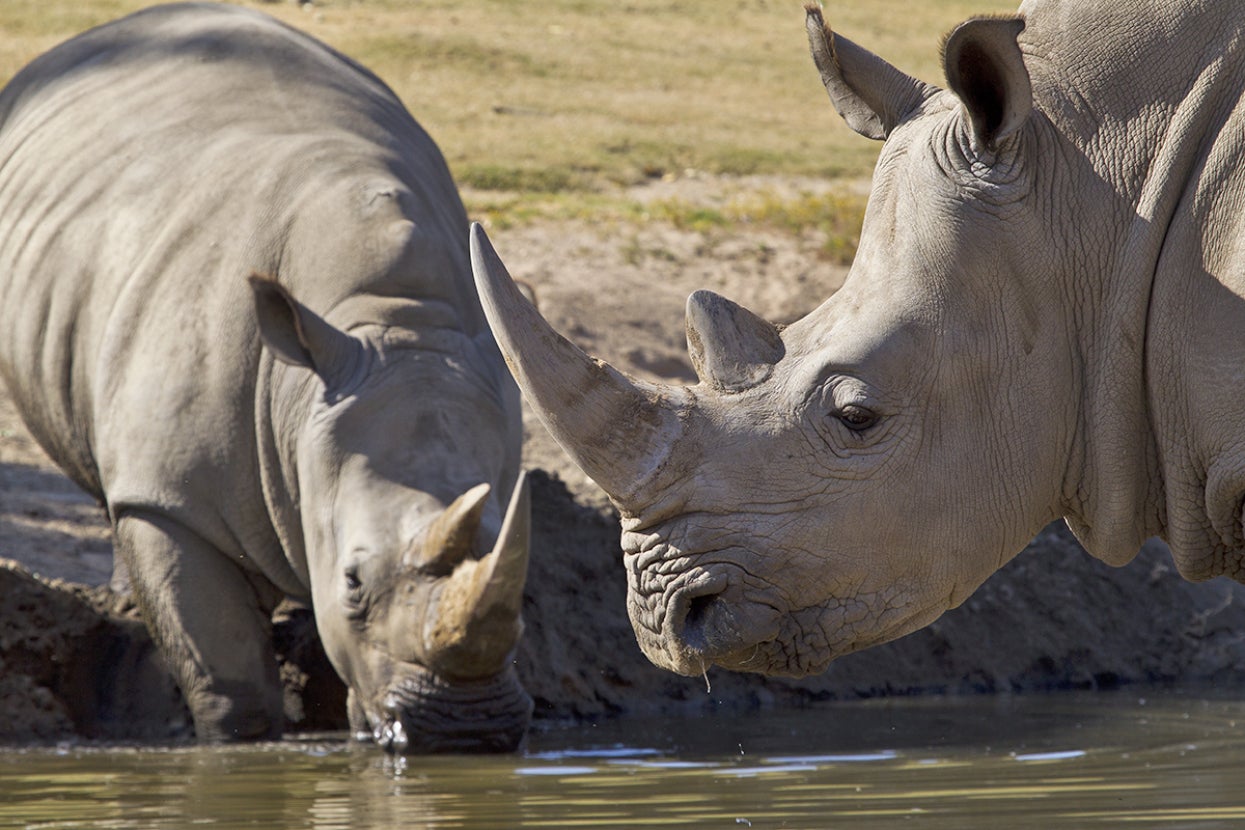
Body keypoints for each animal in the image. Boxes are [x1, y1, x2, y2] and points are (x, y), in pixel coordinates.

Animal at [0, 3, 532, 751]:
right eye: (352, 582)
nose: (467, 730)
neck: (390, 323)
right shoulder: (175, 498)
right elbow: (230, 679)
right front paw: (240, 743)